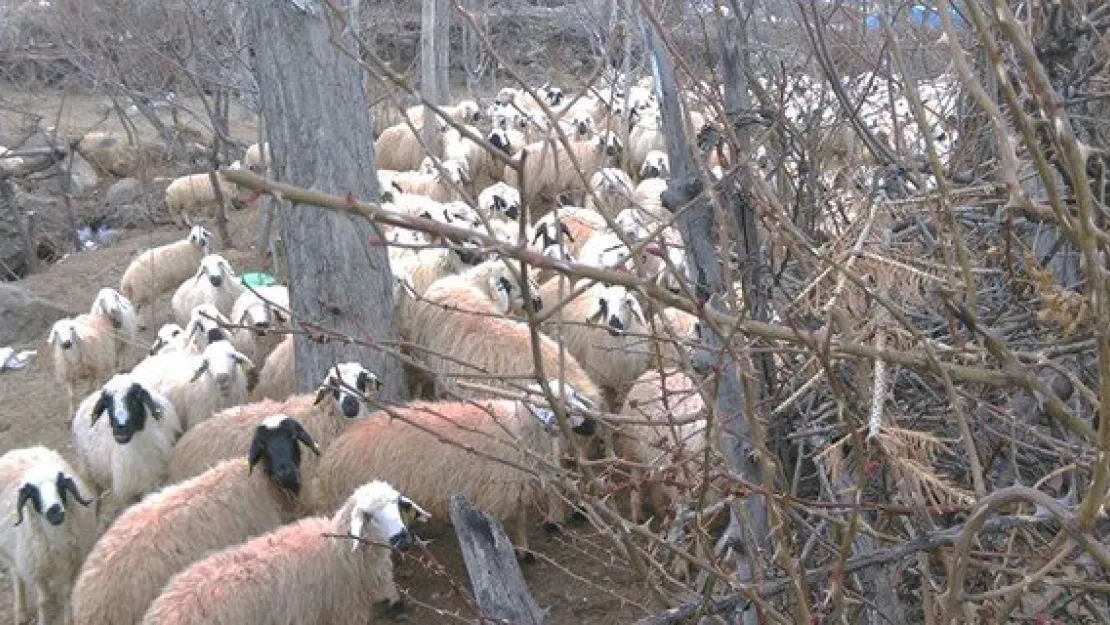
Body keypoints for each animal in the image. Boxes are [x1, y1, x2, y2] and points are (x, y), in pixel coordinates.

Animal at [0, 444, 96, 625]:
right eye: (33, 492)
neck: (57, 540)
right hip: (13, 554)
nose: (55, 511)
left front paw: (68, 620)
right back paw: (21, 612)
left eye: (60, 484)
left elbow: (67, 594)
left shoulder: (72, 562)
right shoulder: (37, 571)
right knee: (17, 575)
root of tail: (19, 450)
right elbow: (43, 601)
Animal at [308, 386, 594, 557]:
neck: (517, 430)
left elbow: (520, 517)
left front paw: (524, 548)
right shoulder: (500, 486)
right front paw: (516, 550)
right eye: (562, 406)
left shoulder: (514, 483)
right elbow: (509, 521)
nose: (593, 423)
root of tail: (334, 452)